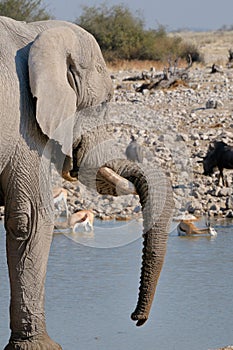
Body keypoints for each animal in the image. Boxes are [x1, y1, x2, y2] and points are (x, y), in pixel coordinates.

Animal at [0, 16, 173, 350]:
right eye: (104, 104)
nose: (136, 319)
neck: (35, 32)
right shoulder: (24, 125)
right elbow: (30, 219)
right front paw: (43, 347)